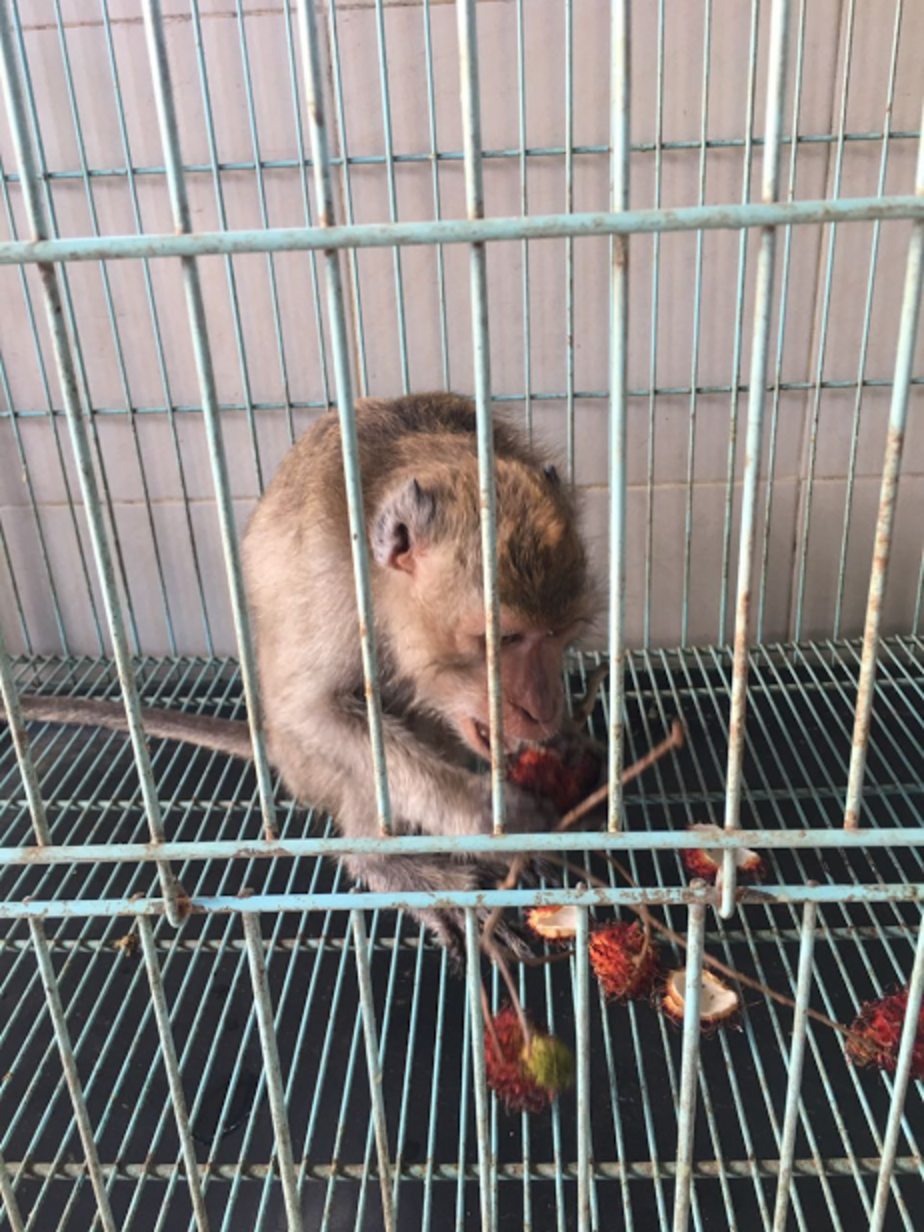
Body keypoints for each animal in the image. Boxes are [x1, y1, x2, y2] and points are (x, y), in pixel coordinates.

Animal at [4, 394, 596, 965]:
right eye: (502, 639)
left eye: (559, 635)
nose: (542, 708)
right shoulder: (332, 581)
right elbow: (312, 711)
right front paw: (484, 817)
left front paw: (563, 742)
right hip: (304, 767)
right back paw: (389, 866)